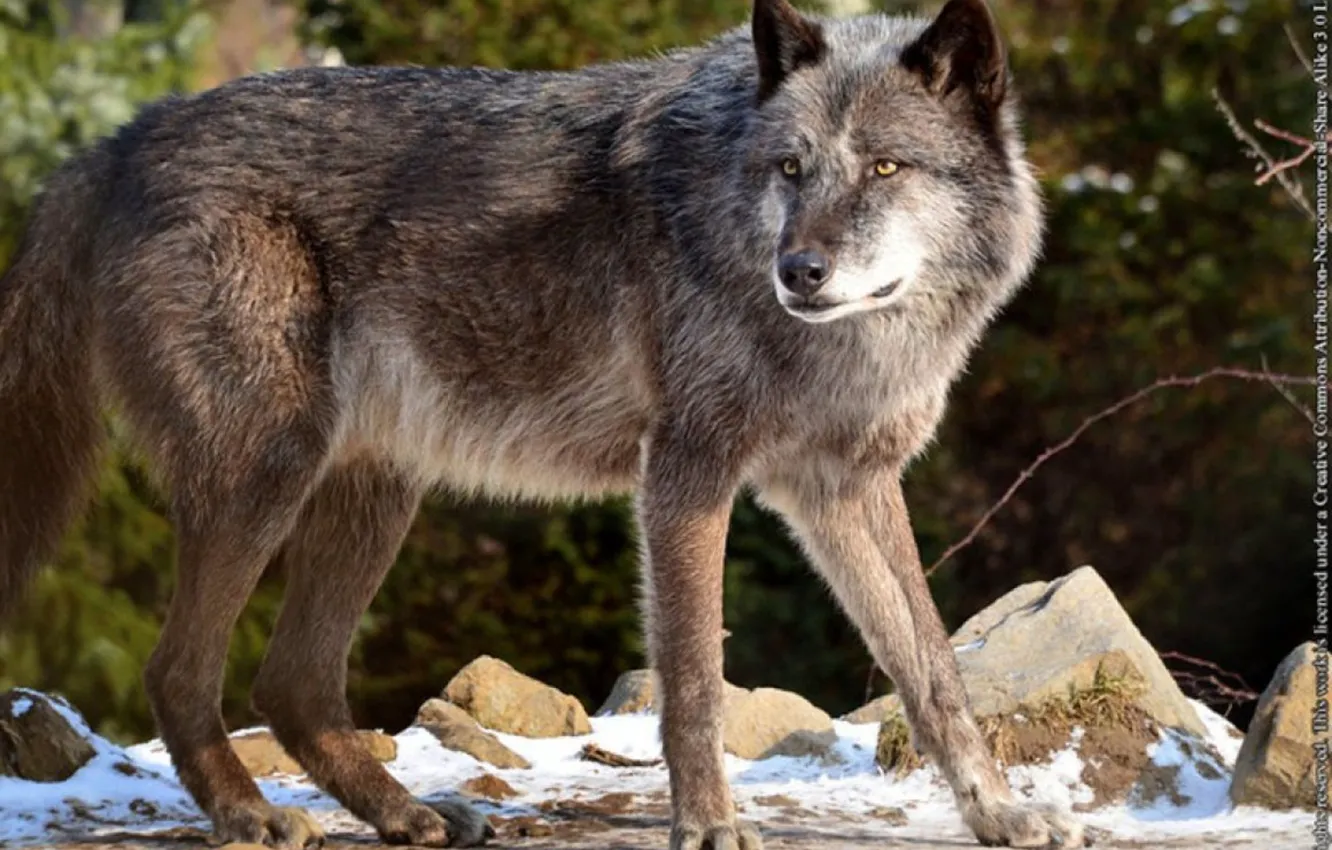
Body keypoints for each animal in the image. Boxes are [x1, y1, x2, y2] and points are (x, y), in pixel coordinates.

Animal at [0, 0, 1085, 846]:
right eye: (790, 167)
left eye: (888, 168)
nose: (799, 271)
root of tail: (111, 145)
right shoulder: (683, 475)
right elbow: (695, 677)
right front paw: (709, 824)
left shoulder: (845, 490)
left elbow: (933, 669)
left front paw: (1002, 814)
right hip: (268, 474)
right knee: (181, 671)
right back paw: (251, 816)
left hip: (375, 494)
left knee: (292, 684)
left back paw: (408, 816)